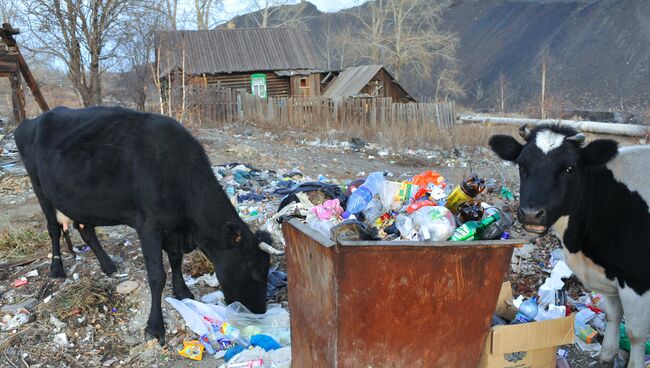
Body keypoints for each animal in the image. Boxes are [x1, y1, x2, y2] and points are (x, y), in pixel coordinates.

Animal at [15, 105, 280, 342]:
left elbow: (175, 260)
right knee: (53, 230)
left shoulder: (174, 230)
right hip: (40, 190)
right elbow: (157, 276)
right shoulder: (149, 225)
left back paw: (109, 266)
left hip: (78, 200)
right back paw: (57, 269)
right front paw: (155, 327)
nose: (259, 313)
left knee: (86, 230)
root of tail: (30, 122)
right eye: (256, 273)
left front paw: (182, 291)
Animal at [488, 125, 648, 366]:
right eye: (522, 165)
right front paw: (606, 356)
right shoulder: (608, 274)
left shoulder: (637, 280)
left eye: (570, 168)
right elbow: (612, 315)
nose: (531, 213)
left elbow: (636, 333)